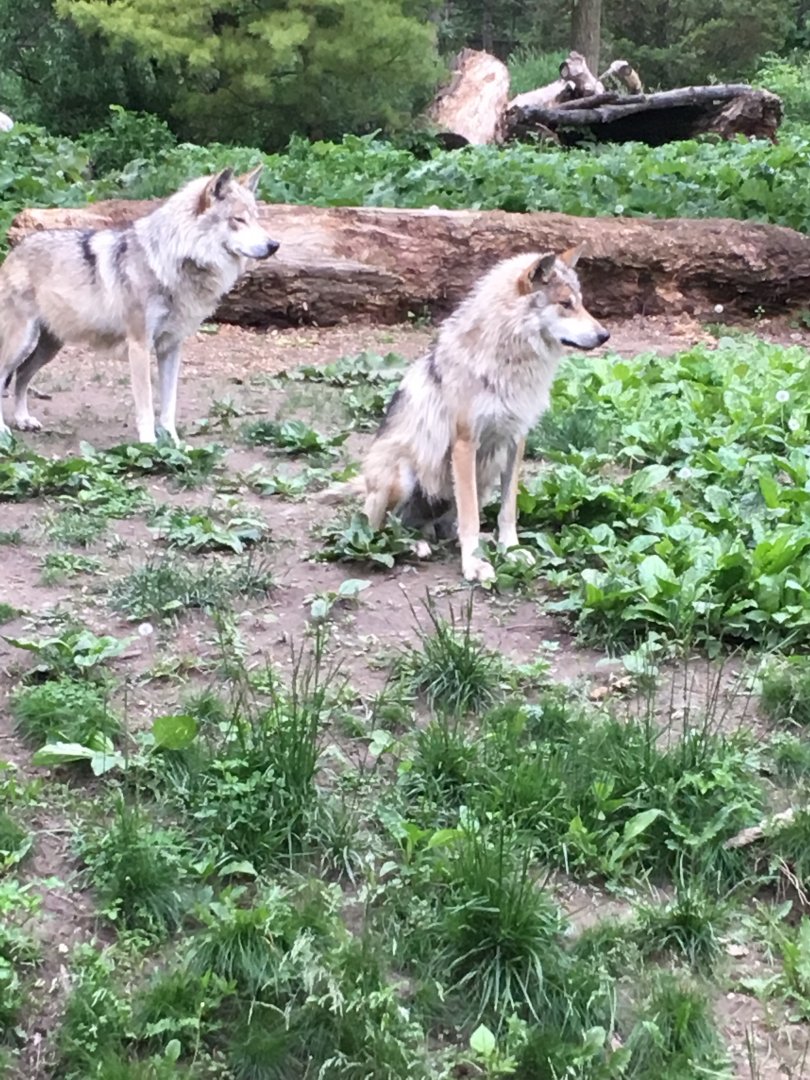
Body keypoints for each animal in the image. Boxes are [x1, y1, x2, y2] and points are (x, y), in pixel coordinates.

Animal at [0, 165, 278, 443]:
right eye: (238, 220)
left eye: (256, 218)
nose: (274, 245)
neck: (171, 263)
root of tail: (15, 249)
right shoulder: (140, 345)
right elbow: (146, 406)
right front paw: (150, 444)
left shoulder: (171, 347)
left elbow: (169, 405)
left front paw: (174, 443)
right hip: (21, 342)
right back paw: (4, 431)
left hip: (50, 347)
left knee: (22, 374)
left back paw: (23, 419)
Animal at [326, 247, 609, 583]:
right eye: (566, 304)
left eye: (581, 302)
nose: (605, 335)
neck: (511, 363)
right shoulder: (464, 444)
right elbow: (470, 517)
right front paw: (474, 564)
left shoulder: (515, 441)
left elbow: (507, 510)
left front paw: (510, 549)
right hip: (402, 477)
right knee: (380, 532)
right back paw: (416, 546)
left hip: (485, 474)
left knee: (443, 529)